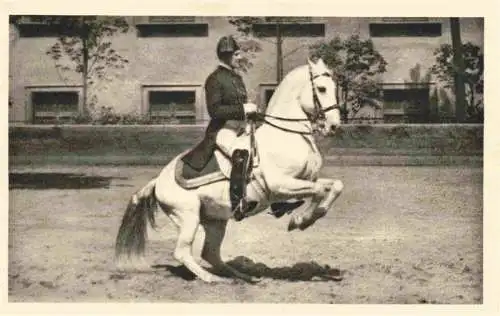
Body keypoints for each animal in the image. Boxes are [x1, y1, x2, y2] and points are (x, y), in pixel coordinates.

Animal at [115, 56, 346, 284]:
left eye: (335, 88)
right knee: (182, 252)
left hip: (215, 221)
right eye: (322, 88)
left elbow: (335, 186)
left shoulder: (306, 180)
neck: (286, 135)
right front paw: (301, 221)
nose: (334, 126)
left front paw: (307, 217)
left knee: (210, 253)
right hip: (188, 217)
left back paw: (241, 276)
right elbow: (319, 191)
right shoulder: (282, 186)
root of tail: (158, 182)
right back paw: (211, 278)